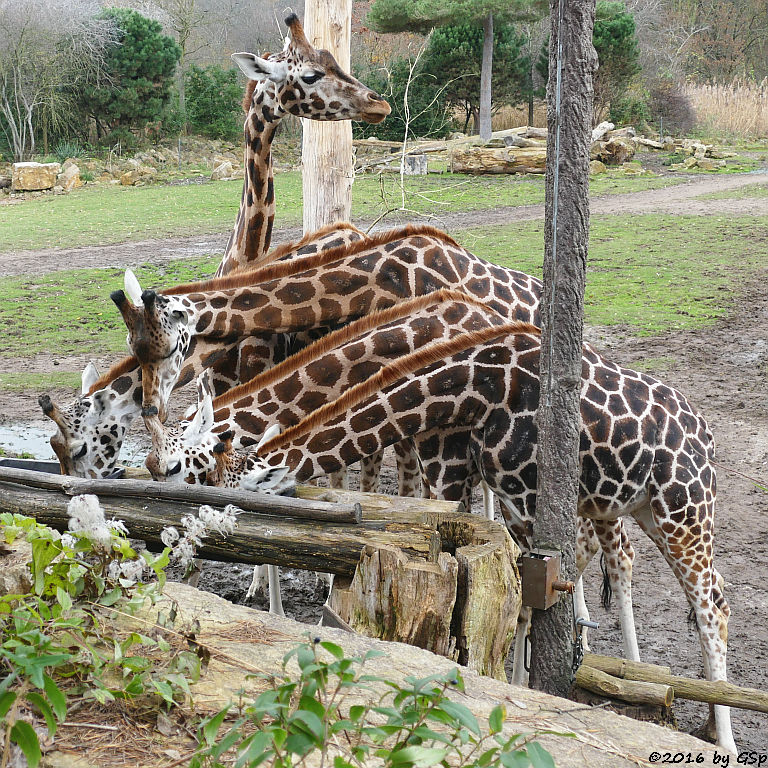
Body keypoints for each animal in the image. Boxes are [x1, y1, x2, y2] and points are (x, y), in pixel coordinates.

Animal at [207, 322, 736, 752]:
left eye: (233, 483)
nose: (215, 526)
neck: (472, 390)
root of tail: (706, 436)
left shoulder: (517, 491)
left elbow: (531, 592)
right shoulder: (494, 490)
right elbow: (515, 590)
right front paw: (516, 683)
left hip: (683, 509)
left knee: (712, 603)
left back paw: (725, 740)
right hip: (634, 506)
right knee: (675, 582)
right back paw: (700, 716)